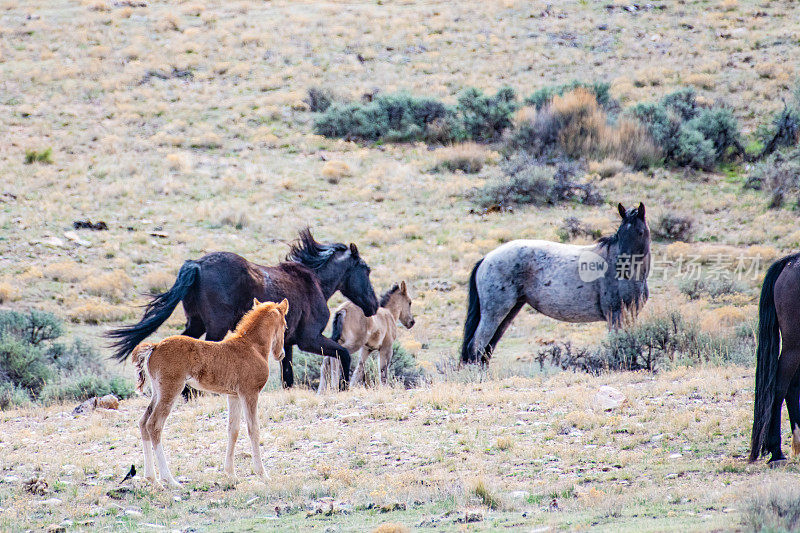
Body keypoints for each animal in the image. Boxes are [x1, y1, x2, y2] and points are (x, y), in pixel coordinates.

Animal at [108, 228, 380, 386]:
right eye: (366, 269)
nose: (374, 305)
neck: (313, 281)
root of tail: (197, 264)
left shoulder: (289, 343)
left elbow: (288, 377)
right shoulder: (310, 339)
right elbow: (343, 354)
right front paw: (343, 387)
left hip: (195, 323)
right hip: (215, 328)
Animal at [127, 298, 284, 488]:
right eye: (285, 325)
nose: (281, 354)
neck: (252, 347)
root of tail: (155, 346)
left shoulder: (234, 396)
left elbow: (233, 430)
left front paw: (231, 474)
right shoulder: (250, 393)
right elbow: (253, 429)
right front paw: (263, 474)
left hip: (157, 391)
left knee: (143, 422)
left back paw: (152, 479)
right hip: (171, 390)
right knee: (154, 425)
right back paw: (169, 480)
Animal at [462, 202, 648, 364]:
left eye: (639, 232)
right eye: (620, 233)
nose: (623, 267)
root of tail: (486, 258)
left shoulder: (631, 313)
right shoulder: (614, 314)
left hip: (510, 311)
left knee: (488, 348)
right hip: (494, 312)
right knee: (476, 346)